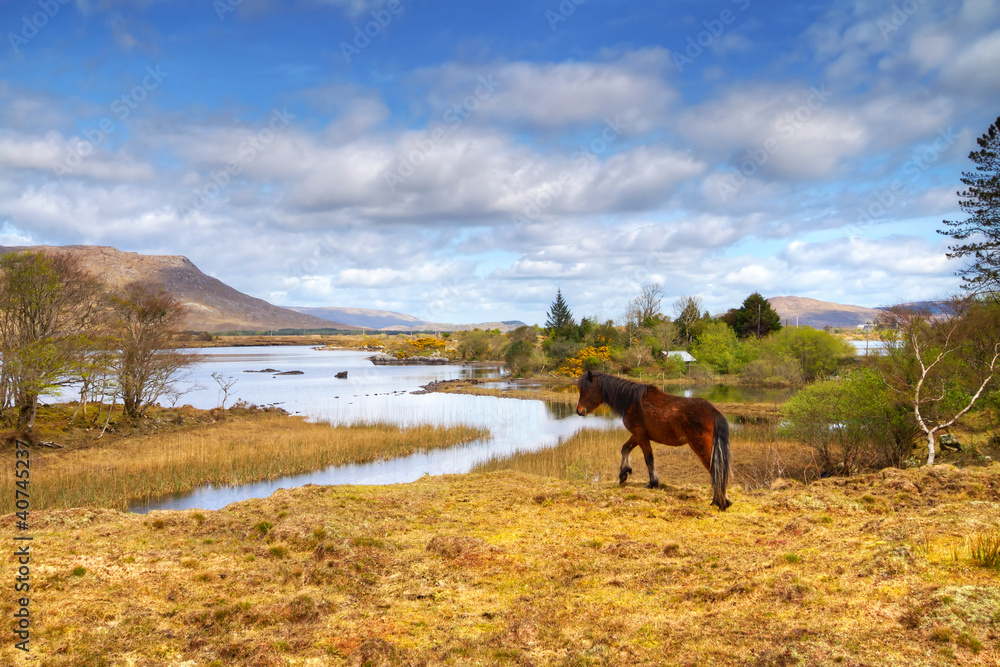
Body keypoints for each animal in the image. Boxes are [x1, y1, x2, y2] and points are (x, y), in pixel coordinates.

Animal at [576, 370, 732, 512]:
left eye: (588, 390)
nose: (579, 411)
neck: (632, 401)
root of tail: (714, 412)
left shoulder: (640, 435)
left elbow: (648, 459)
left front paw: (653, 483)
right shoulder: (637, 435)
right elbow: (625, 448)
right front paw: (623, 473)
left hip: (701, 447)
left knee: (715, 471)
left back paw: (720, 502)